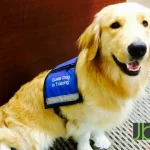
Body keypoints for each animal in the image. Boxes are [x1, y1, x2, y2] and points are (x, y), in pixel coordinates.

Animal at [0, 2, 150, 150]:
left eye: (145, 23)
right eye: (115, 25)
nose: (138, 48)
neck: (109, 78)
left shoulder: (101, 113)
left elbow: (98, 128)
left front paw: (100, 139)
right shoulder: (81, 119)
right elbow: (84, 136)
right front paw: (86, 147)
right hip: (36, 136)